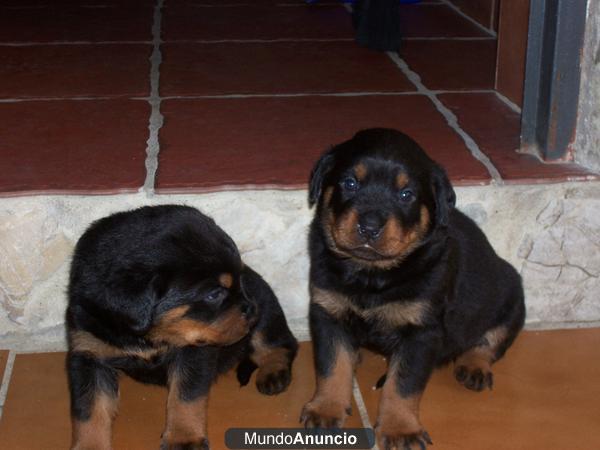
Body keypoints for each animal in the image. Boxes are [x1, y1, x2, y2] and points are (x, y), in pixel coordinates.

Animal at [66, 205, 298, 450]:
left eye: (239, 279)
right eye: (214, 294)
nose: (251, 308)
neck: (147, 336)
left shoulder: (194, 350)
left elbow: (186, 396)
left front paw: (184, 438)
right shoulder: (88, 353)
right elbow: (89, 410)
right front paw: (89, 446)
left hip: (267, 310)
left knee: (280, 343)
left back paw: (274, 372)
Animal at [300, 128, 524, 448]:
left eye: (406, 195)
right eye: (350, 183)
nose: (370, 227)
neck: (372, 274)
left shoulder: (421, 331)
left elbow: (403, 384)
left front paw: (400, 430)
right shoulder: (327, 311)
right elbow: (331, 365)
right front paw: (325, 409)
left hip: (511, 294)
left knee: (490, 341)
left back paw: (474, 367)